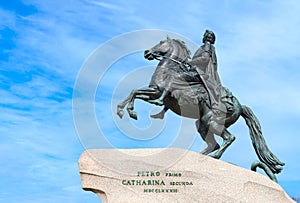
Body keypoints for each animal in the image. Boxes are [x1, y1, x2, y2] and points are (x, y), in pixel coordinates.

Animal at [116, 36, 284, 181]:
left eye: (161, 43)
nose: (147, 52)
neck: (168, 69)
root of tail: (239, 106)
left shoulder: (156, 92)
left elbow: (137, 92)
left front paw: (129, 111)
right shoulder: (152, 93)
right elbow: (134, 92)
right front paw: (123, 109)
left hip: (213, 122)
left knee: (229, 138)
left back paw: (213, 157)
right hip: (202, 124)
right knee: (214, 144)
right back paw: (198, 156)